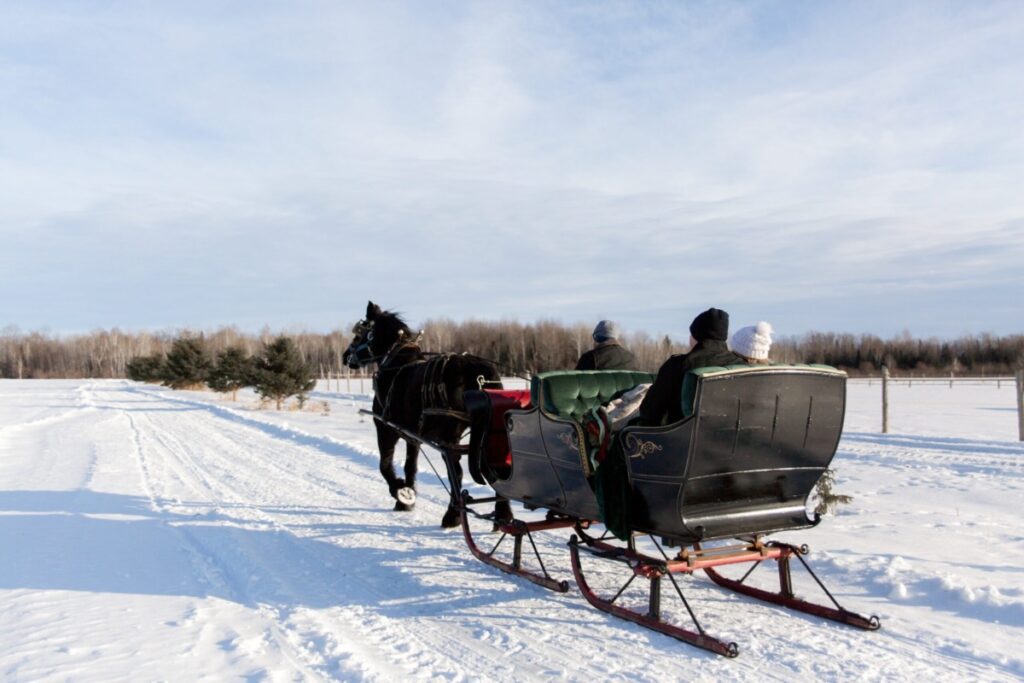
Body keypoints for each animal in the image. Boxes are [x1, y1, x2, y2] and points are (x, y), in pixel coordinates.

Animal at [342, 299, 505, 528]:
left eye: (359, 334)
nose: (345, 356)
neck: (396, 364)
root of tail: (478, 373)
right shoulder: (413, 436)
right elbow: (410, 466)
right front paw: (406, 499)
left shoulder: (385, 428)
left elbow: (385, 465)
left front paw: (401, 492)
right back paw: (502, 515)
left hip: (449, 437)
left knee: (457, 473)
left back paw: (453, 515)